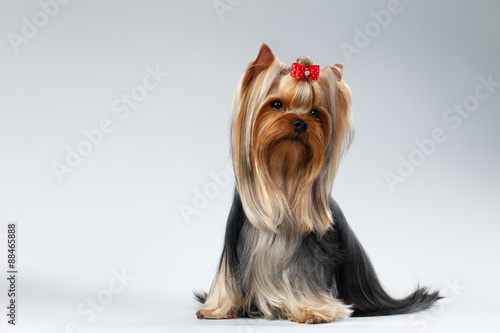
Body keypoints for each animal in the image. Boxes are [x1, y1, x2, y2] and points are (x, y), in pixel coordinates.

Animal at [193, 43, 440, 322]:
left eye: (314, 112)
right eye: (276, 104)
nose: (300, 123)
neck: (283, 179)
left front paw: (311, 310)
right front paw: (218, 309)